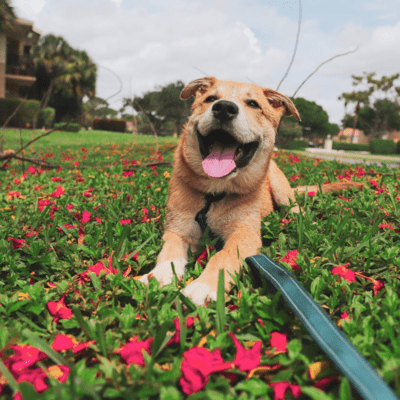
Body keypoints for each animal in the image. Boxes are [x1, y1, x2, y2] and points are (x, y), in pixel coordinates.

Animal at [138, 77, 362, 306]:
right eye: (210, 99)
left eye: (253, 104)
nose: (223, 108)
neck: (215, 194)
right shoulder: (178, 230)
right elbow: (169, 252)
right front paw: (160, 274)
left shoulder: (245, 233)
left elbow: (224, 256)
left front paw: (204, 286)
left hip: (281, 190)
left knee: (296, 209)